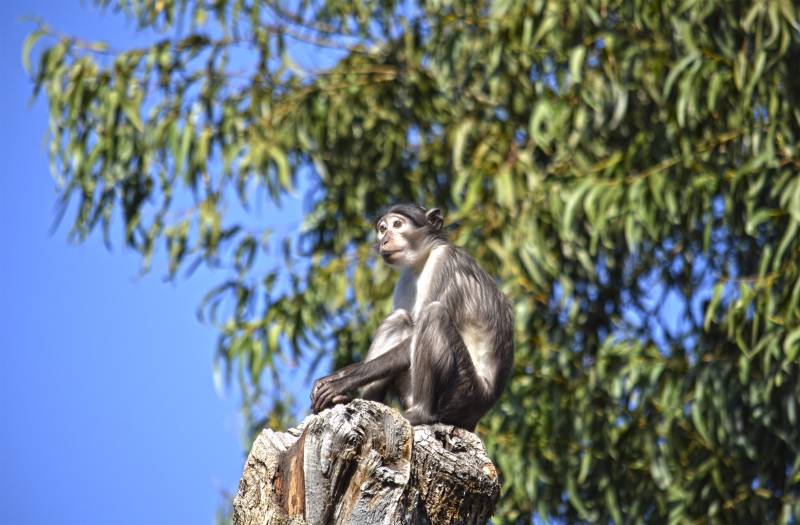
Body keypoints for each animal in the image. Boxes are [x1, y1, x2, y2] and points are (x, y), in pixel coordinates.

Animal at [310, 204, 516, 430]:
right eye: (382, 229)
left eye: (397, 224)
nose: (384, 240)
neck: (423, 260)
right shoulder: (406, 277)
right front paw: (336, 378)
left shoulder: (444, 259)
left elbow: (411, 341)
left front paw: (339, 383)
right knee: (399, 318)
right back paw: (365, 401)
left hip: (463, 393)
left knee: (433, 314)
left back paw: (420, 413)